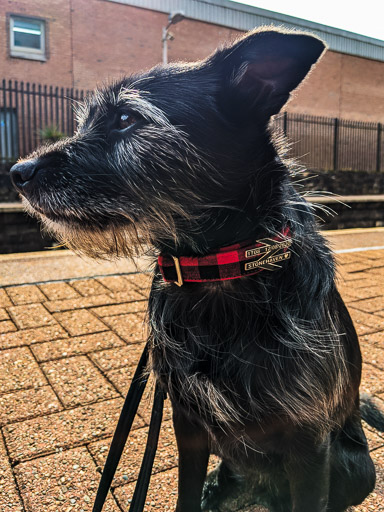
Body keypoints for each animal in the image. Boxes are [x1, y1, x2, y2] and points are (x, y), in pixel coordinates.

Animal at [11, 29, 378, 512]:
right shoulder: (187, 424)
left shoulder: (310, 442)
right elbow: (184, 492)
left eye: (126, 118)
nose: (18, 172)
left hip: (353, 467)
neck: (215, 270)